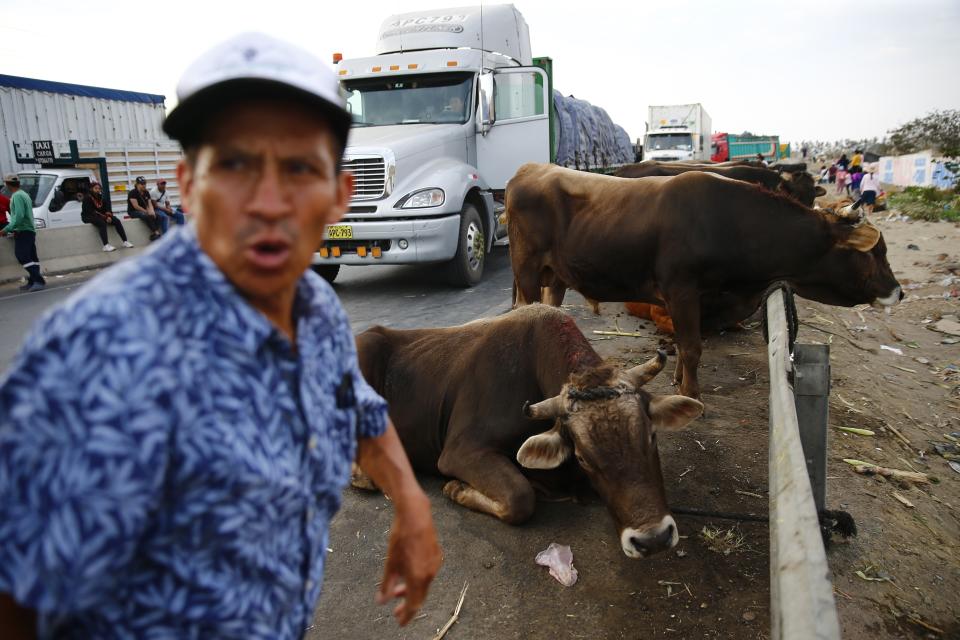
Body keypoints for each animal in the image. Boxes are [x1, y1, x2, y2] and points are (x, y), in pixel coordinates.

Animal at [356, 302, 700, 556]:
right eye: (583, 456)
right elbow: (520, 497)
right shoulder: (460, 451)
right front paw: (457, 489)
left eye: (651, 436)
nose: (653, 539)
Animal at [506, 162, 904, 398]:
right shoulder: (681, 290)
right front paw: (691, 395)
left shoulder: (692, 298)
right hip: (526, 269)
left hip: (556, 276)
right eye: (874, 253)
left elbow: (685, 345)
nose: (898, 292)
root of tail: (532, 168)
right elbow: (693, 347)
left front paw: (680, 380)